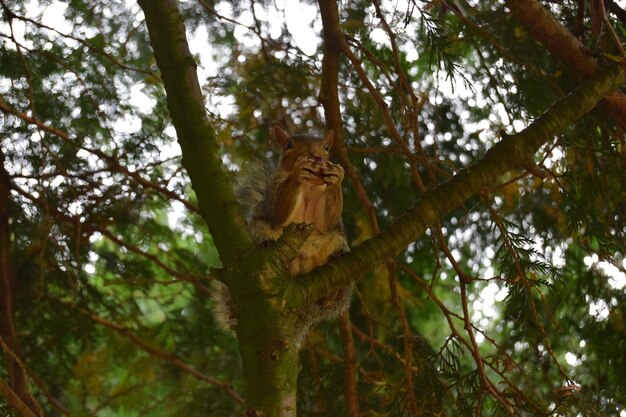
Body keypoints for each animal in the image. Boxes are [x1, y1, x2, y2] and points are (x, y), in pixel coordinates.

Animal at [212, 125, 352, 346]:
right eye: (289, 145)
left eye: (326, 147)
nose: (316, 157)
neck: (309, 186)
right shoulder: (273, 192)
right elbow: (278, 211)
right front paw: (297, 171)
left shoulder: (327, 218)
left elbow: (326, 222)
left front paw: (337, 177)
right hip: (260, 229)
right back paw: (267, 244)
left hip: (337, 246)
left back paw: (333, 289)